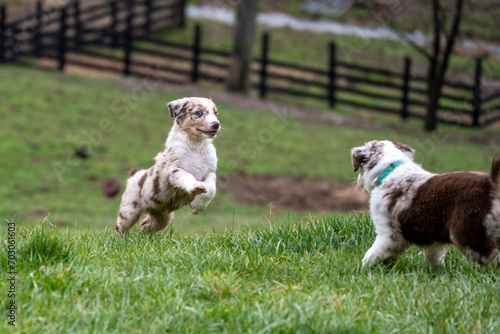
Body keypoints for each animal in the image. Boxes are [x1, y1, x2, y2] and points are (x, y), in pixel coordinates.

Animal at [116, 98, 221, 236]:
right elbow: (188, 175)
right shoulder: (173, 169)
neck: (195, 145)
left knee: (145, 225)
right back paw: (121, 239)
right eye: (199, 113)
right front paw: (196, 187)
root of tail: (135, 174)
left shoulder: (210, 171)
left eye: (215, 113)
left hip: (163, 217)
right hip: (129, 211)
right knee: (120, 228)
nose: (216, 124)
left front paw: (197, 207)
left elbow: (211, 189)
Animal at [352, 140, 500, 266]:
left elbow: (373, 253)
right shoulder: (432, 237)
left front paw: (363, 268)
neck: (391, 170)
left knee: (490, 257)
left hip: (467, 231)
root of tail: (491, 184)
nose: (358, 183)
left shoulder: (388, 234)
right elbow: (433, 255)